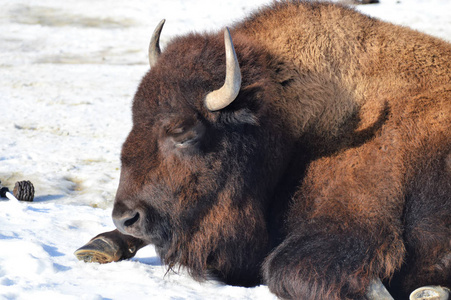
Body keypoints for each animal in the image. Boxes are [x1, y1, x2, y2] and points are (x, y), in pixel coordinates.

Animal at [75, 1, 451, 298]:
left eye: (183, 133)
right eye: (134, 118)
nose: (126, 217)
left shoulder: (356, 215)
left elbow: (284, 269)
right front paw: (96, 245)